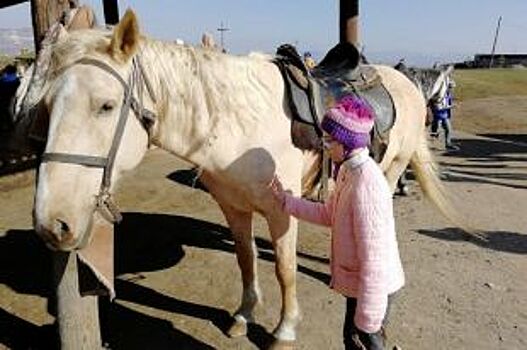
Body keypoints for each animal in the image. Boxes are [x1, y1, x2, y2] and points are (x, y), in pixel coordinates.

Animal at [27, 9, 466, 348]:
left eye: (106, 105)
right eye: (45, 106)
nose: (52, 224)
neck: (238, 127)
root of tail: (404, 80)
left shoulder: (281, 211)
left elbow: (285, 269)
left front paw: (284, 329)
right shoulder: (234, 208)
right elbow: (246, 259)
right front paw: (243, 315)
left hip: (391, 170)